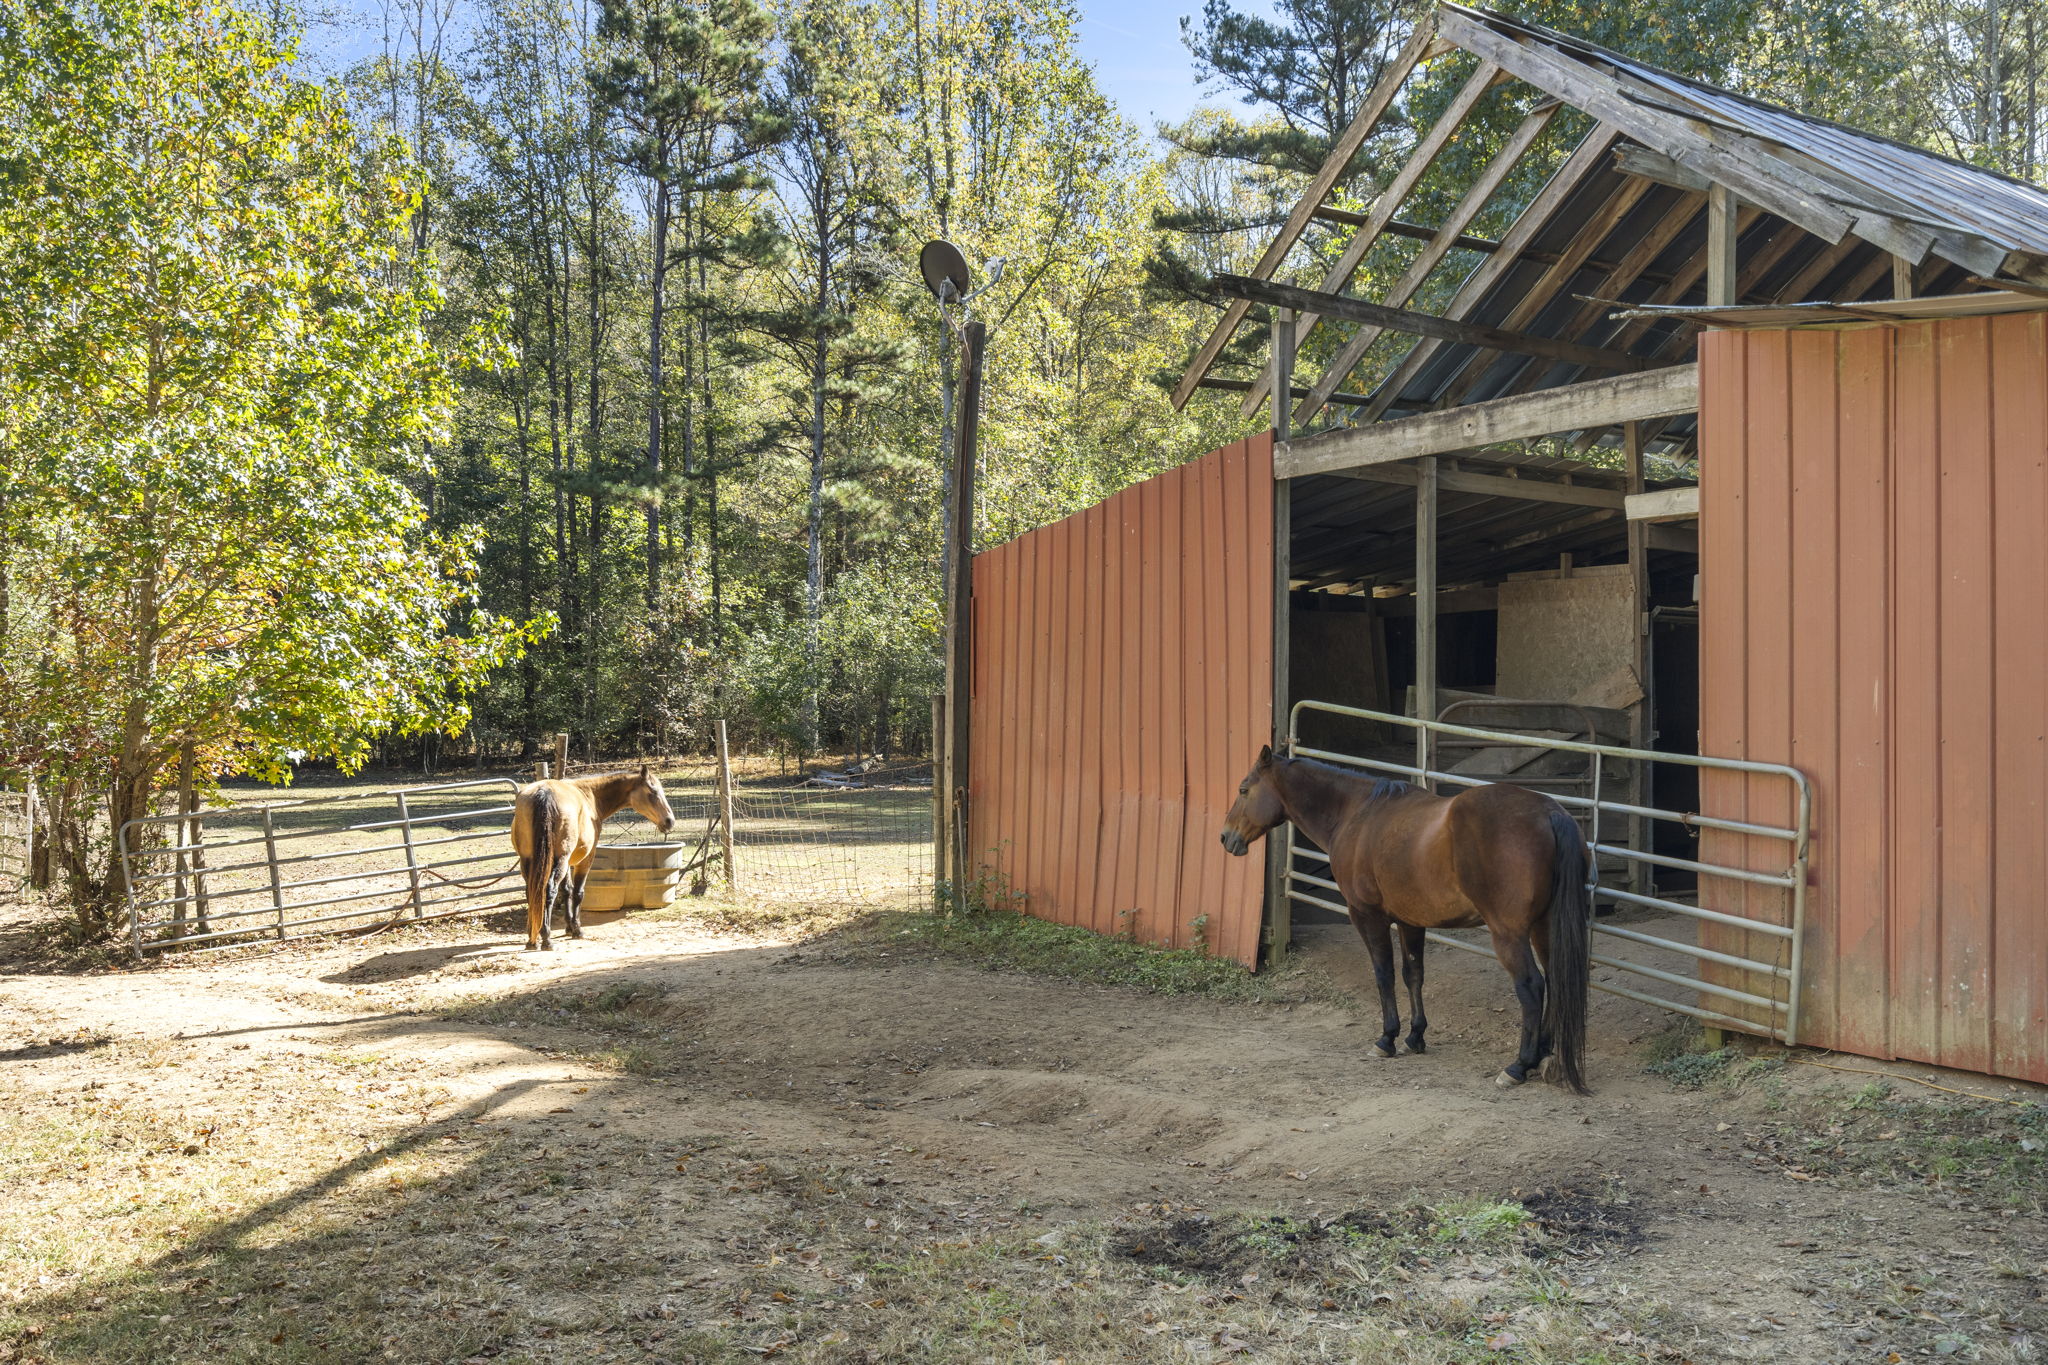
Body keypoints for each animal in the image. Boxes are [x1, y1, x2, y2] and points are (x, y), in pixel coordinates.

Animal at [510, 764, 676, 951]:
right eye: (653, 792)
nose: (670, 821)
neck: (589, 794)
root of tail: (544, 792)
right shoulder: (585, 859)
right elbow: (578, 892)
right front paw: (577, 930)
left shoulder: (568, 862)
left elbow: (567, 890)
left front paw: (569, 927)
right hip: (558, 861)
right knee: (549, 890)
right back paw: (546, 938)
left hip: (529, 861)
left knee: (532, 891)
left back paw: (532, 939)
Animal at [1220, 744, 1592, 1093]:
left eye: (1243, 789)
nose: (1225, 837)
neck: (1357, 814)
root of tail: (1549, 813)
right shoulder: (1411, 920)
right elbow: (1413, 974)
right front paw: (1415, 1037)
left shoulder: (1367, 916)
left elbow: (1383, 974)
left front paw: (1386, 1039)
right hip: (1544, 928)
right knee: (1555, 980)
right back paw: (1544, 1054)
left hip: (1509, 934)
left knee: (1532, 986)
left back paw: (1519, 1065)